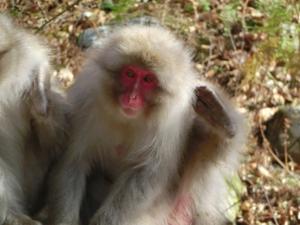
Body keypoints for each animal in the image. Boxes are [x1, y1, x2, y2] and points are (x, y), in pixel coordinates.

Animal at [47, 25, 246, 225]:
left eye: (147, 79)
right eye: (130, 74)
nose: (132, 97)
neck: (128, 119)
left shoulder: (170, 123)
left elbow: (146, 175)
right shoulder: (84, 101)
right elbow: (73, 161)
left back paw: (219, 120)